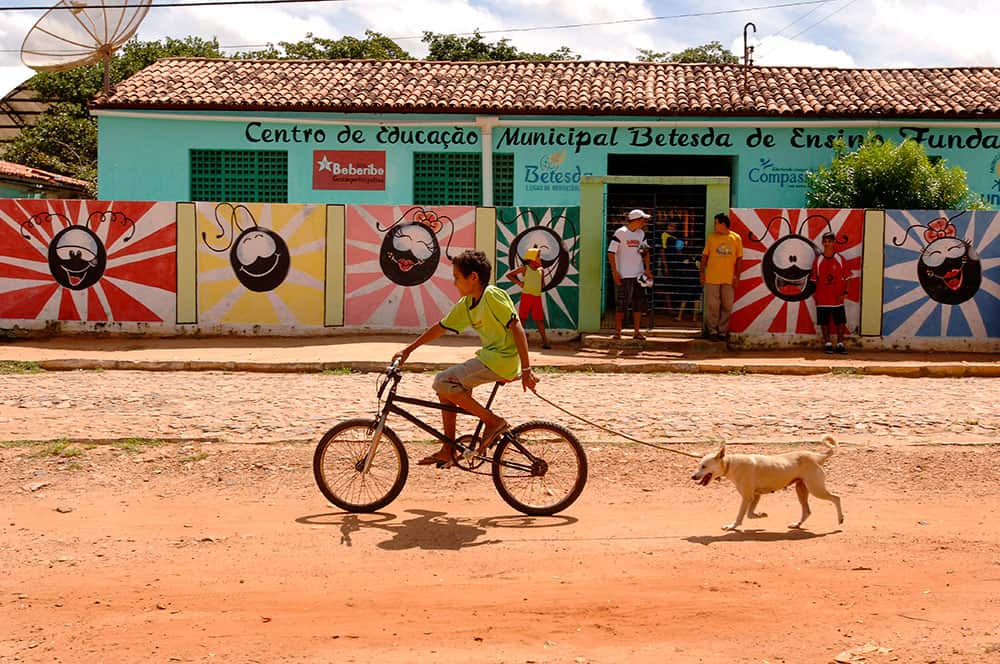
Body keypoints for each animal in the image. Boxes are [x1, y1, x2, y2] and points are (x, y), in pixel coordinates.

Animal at [696, 434, 844, 532]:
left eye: (704, 466)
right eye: (699, 465)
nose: (693, 477)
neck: (730, 463)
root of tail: (818, 456)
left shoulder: (747, 497)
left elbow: (740, 515)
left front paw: (732, 526)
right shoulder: (756, 496)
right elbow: (750, 514)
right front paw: (760, 515)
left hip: (815, 489)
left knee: (836, 498)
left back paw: (840, 519)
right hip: (801, 489)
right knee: (807, 511)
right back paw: (797, 524)